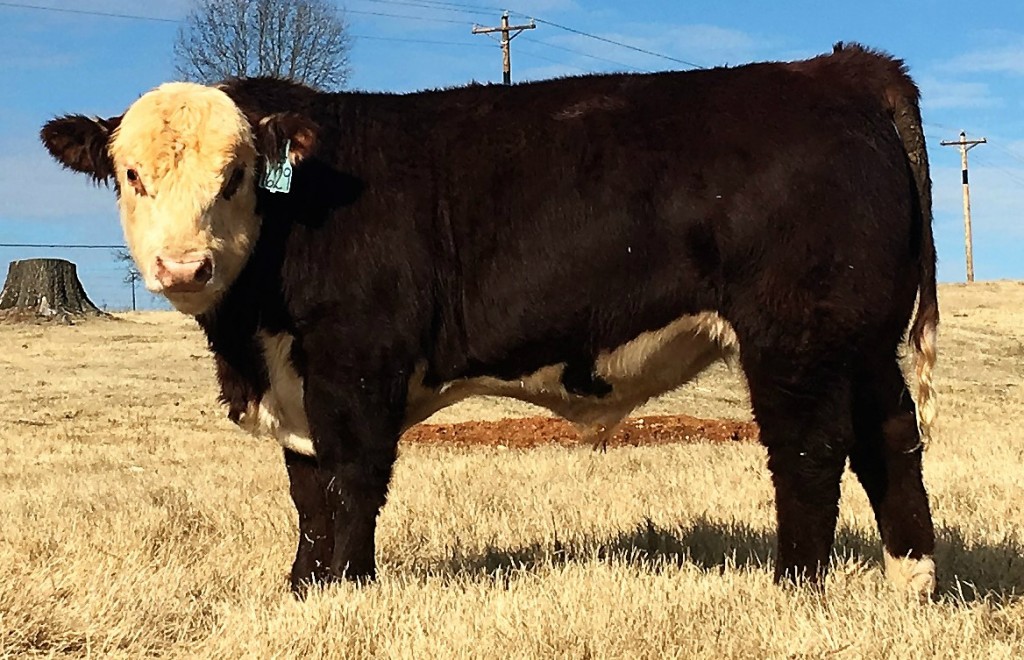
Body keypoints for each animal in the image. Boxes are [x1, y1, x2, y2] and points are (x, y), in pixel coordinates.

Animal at [39, 39, 937, 597]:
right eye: (131, 175)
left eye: (235, 176)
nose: (182, 267)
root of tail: (837, 71)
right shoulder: (299, 382)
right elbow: (306, 492)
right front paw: (302, 589)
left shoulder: (356, 364)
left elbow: (349, 482)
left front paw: (345, 590)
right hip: (861, 338)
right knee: (890, 437)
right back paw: (914, 583)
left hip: (796, 337)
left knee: (810, 451)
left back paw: (794, 588)